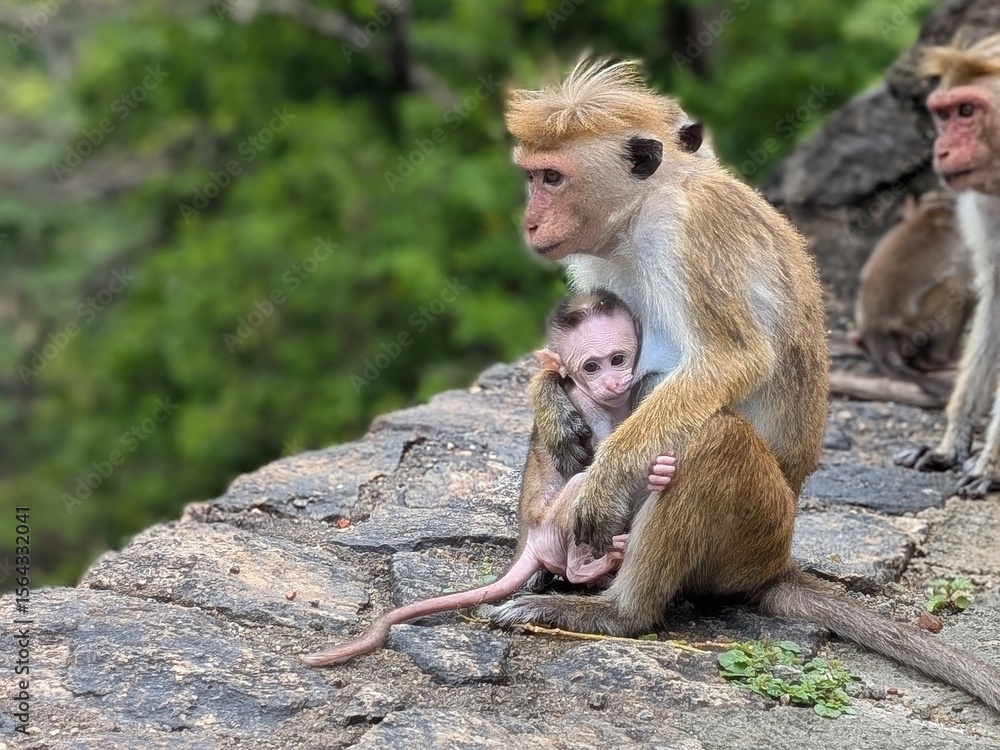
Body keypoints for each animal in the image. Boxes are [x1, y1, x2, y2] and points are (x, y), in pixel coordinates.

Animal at [302, 290, 676, 666]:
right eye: (591, 367)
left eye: (618, 359)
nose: (612, 381)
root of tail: (529, 539)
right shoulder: (584, 408)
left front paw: (660, 470)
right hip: (551, 527)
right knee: (581, 491)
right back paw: (586, 566)